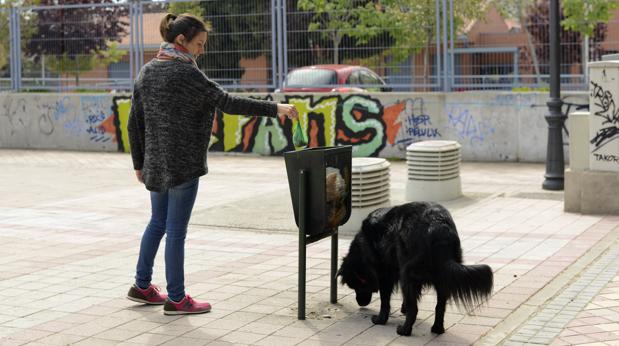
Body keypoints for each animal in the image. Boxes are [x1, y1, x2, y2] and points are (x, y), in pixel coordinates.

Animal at [340, 201, 494, 336]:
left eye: (355, 285)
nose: (360, 303)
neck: (362, 248)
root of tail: (437, 226)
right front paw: (402, 309)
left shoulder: (384, 273)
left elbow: (385, 301)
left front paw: (380, 320)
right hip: (442, 276)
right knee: (440, 306)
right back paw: (437, 329)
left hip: (408, 273)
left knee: (414, 308)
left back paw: (404, 330)